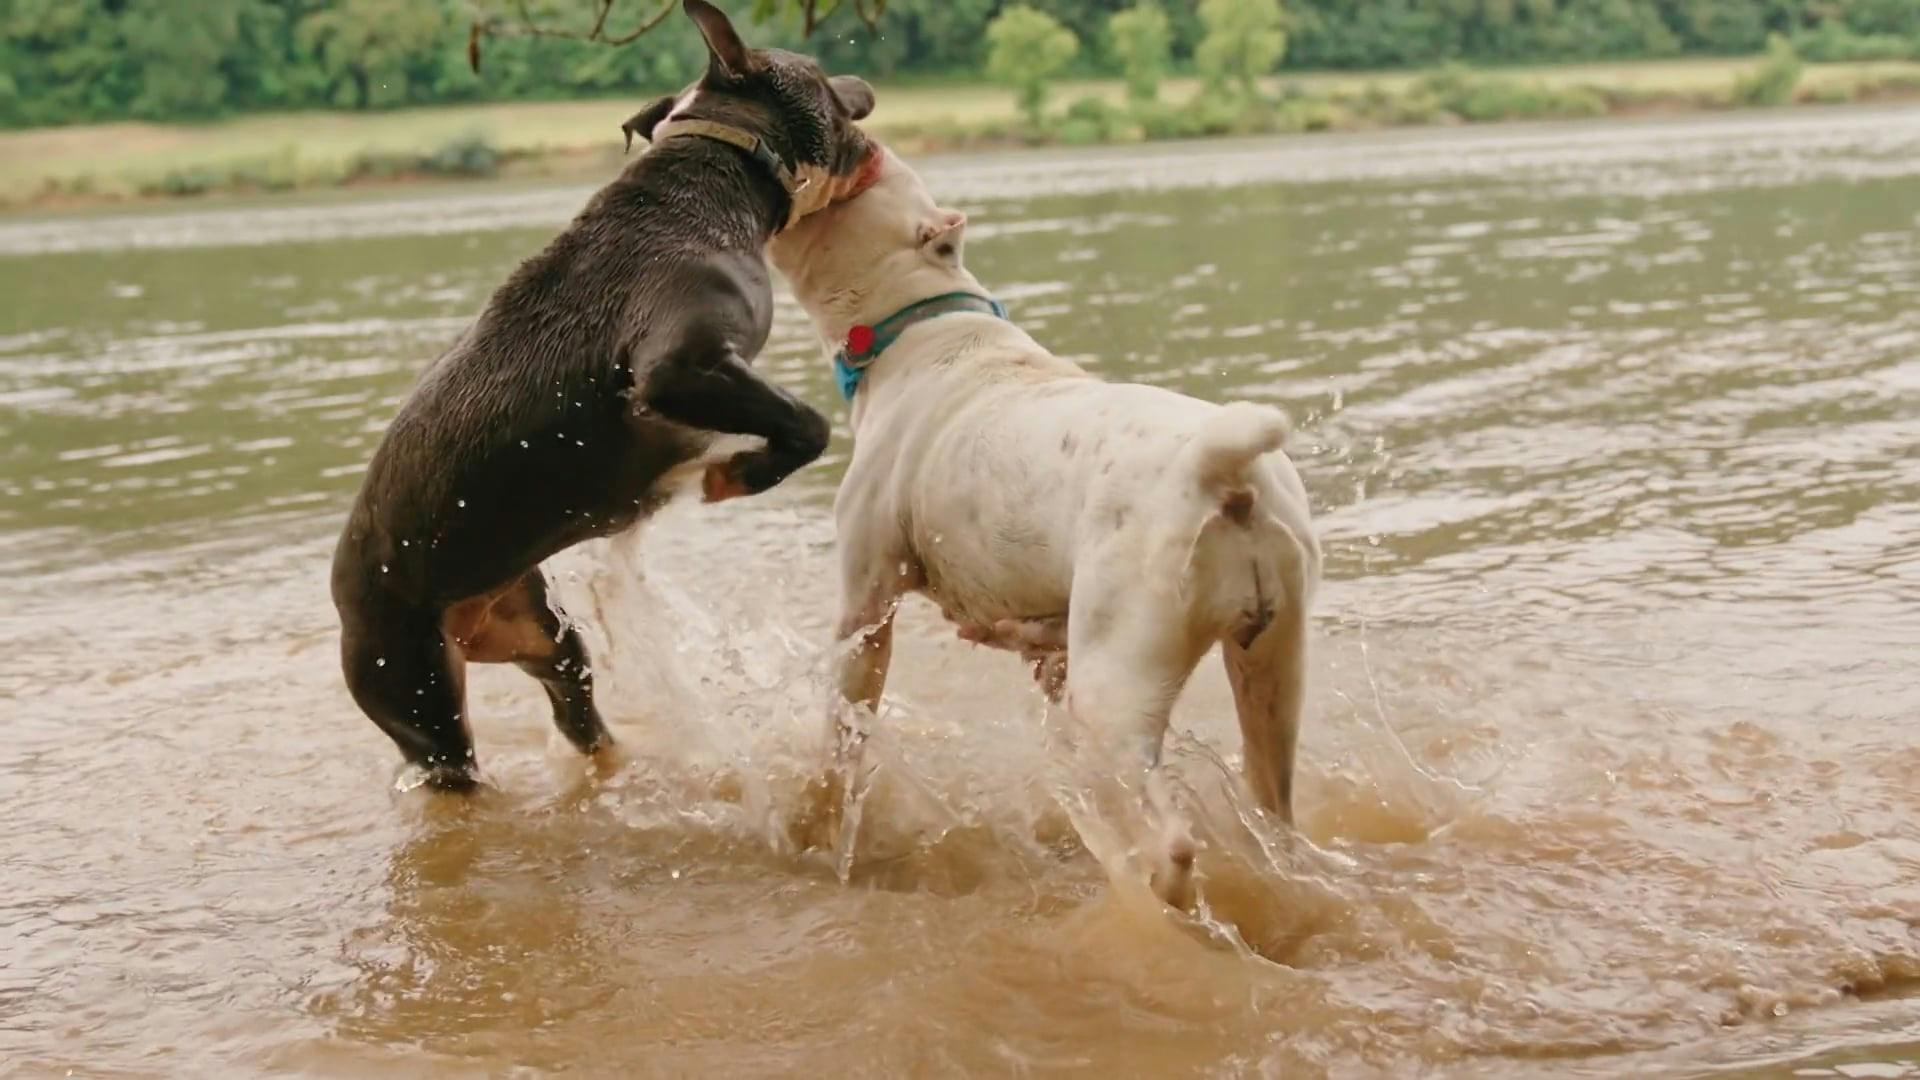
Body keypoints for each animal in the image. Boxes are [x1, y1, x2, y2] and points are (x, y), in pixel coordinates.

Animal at [328, 0, 879, 791]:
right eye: (825, 82)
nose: (866, 84)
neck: (723, 167)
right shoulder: (676, 366)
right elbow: (805, 424)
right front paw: (736, 475)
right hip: (418, 697)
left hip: (544, 636)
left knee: (576, 709)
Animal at [768, 148, 1320, 899]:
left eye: (868, 175)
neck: (920, 322)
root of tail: (1223, 472)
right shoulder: (1051, 652)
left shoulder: (866, 608)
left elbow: (841, 733)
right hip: (1271, 667)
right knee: (1273, 805)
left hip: (1118, 685)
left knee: (1173, 841)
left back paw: (1143, 882)